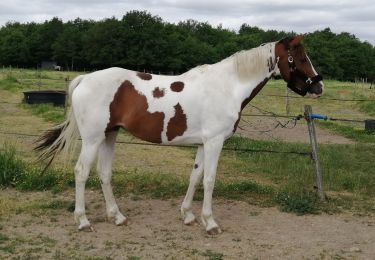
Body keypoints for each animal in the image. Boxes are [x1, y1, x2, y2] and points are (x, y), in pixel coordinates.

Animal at [36, 35, 324, 235]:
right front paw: (210, 223)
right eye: (300, 58)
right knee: (81, 172)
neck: (228, 86)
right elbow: (209, 180)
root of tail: (84, 79)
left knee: (104, 173)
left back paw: (117, 216)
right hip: (93, 139)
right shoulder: (215, 142)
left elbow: (195, 177)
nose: (319, 87)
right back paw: (83, 221)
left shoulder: (204, 143)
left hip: (110, 135)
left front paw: (187, 215)